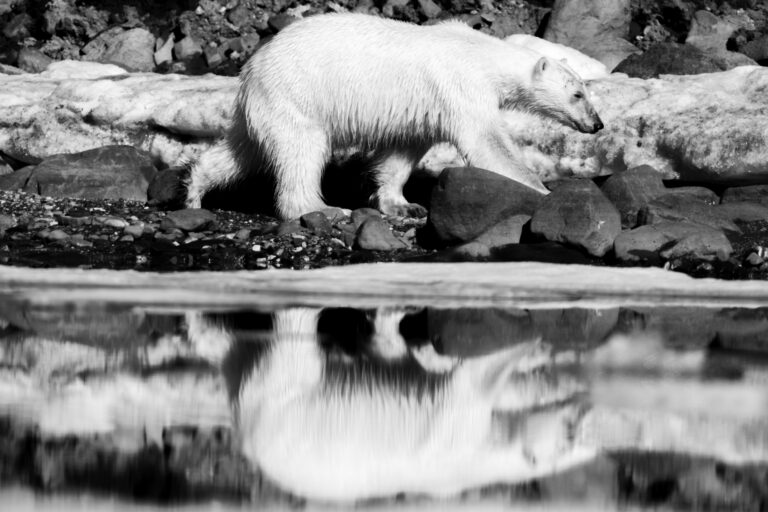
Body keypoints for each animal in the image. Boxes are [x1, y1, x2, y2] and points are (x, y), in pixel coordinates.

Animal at [183, 14, 604, 218]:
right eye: (578, 93)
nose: (597, 124)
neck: (482, 53)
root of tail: (250, 69)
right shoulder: (461, 86)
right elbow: (486, 142)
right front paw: (543, 191)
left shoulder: (427, 107)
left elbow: (404, 151)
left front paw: (402, 204)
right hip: (297, 97)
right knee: (302, 153)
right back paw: (322, 208)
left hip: (264, 107)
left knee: (242, 151)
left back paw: (194, 192)